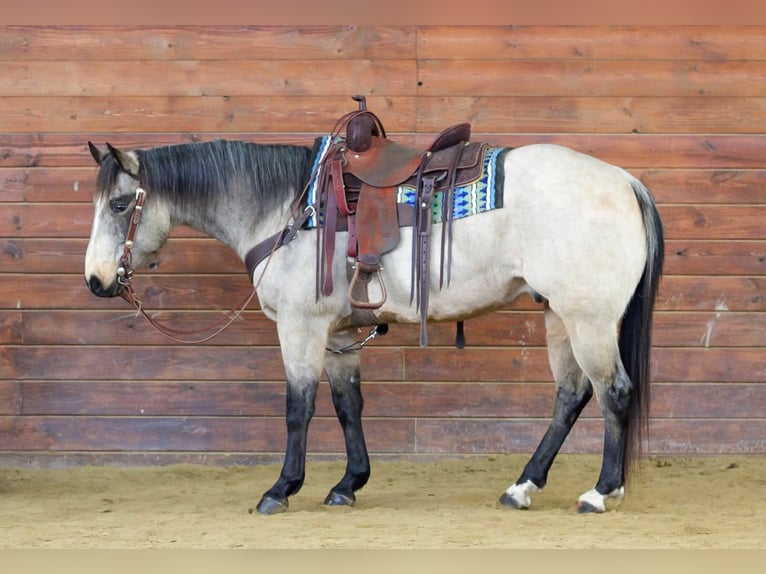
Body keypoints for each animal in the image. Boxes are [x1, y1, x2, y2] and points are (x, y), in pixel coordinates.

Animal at [84, 132, 663, 515]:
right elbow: (347, 407)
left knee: (612, 392)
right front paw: (348, 484)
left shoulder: (301, 327)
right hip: (560, 316)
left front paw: (281, 489)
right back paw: (522, 486)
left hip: (588, 319)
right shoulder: (339, 336)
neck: (289, 210)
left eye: (120, 205)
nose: (96, 279)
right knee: (571, 396)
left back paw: (601, 491)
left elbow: (298, 409)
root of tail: (624, 181)